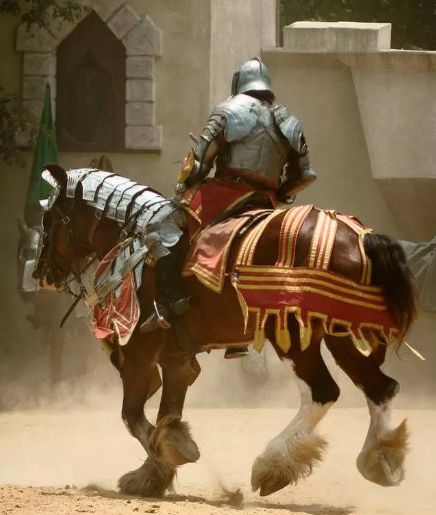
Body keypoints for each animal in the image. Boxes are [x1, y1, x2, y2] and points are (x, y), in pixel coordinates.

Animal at [32, 165, 416, 498]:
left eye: (50, 218)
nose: (42, 273)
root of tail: (360, 238)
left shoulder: (140, 356)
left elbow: (134, 416)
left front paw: (166, 459)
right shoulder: (175, 359)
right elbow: (166, 414)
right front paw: (154, 472)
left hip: (291, 334)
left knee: (322, 392)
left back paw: (272, 465)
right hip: (341, 334)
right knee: (380, 388)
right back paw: (381, 458)